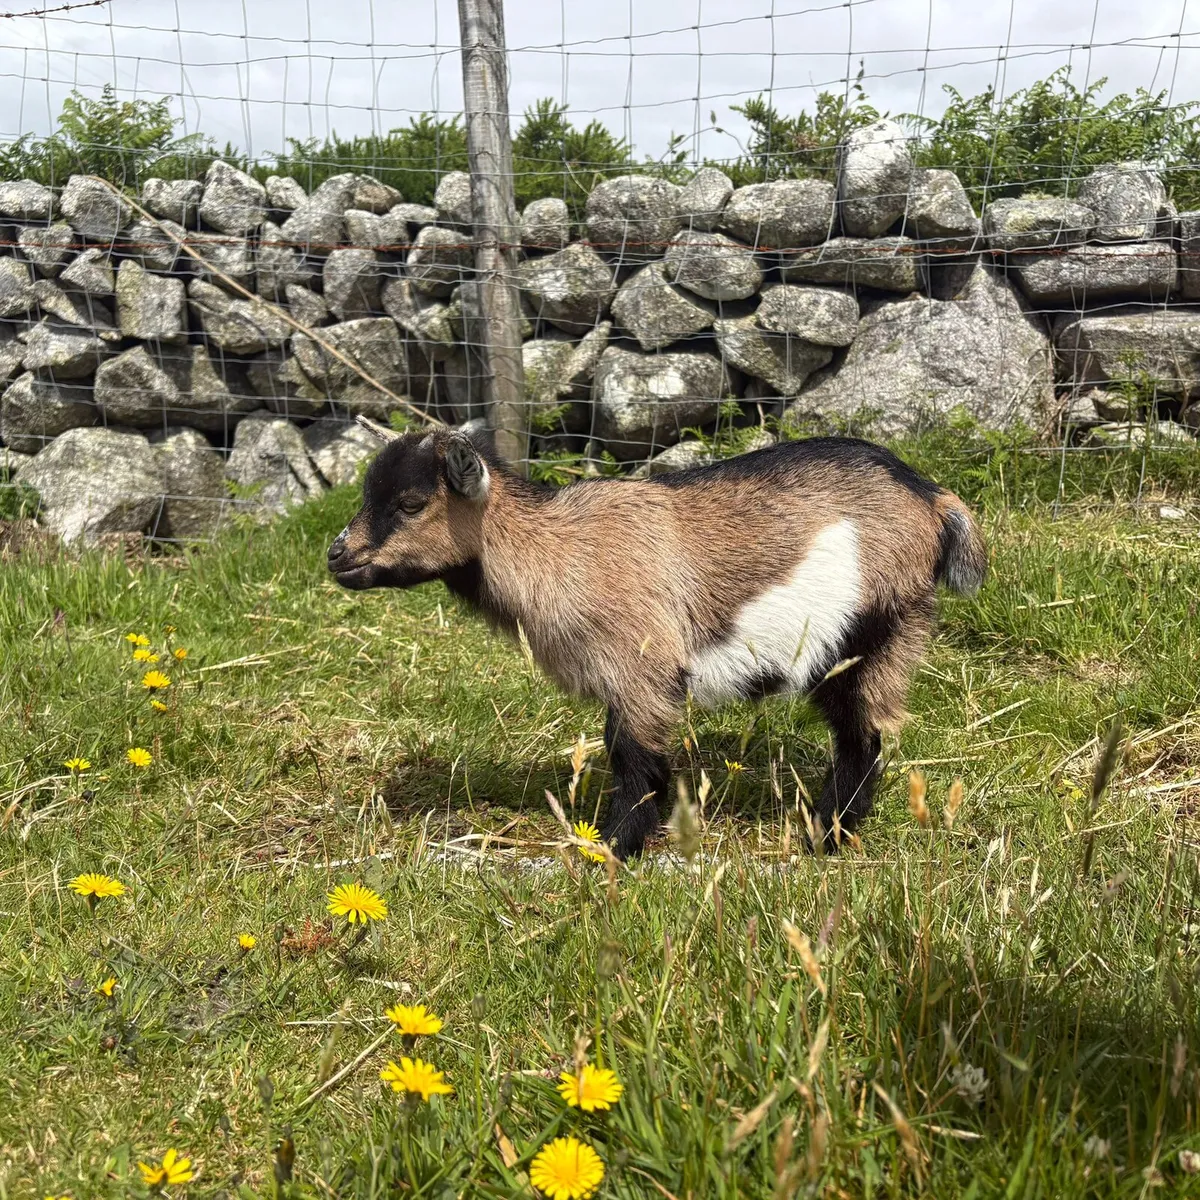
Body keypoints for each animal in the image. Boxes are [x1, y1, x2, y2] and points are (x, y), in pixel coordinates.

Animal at [327, 422, 986, 859]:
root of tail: (932, 497)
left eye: (411, 503)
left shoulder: (638, 666)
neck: (557, 550)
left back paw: (825, 835)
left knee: (861, 736)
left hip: (867, 630)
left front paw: (614, 846)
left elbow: (632, 755)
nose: (337, 556)